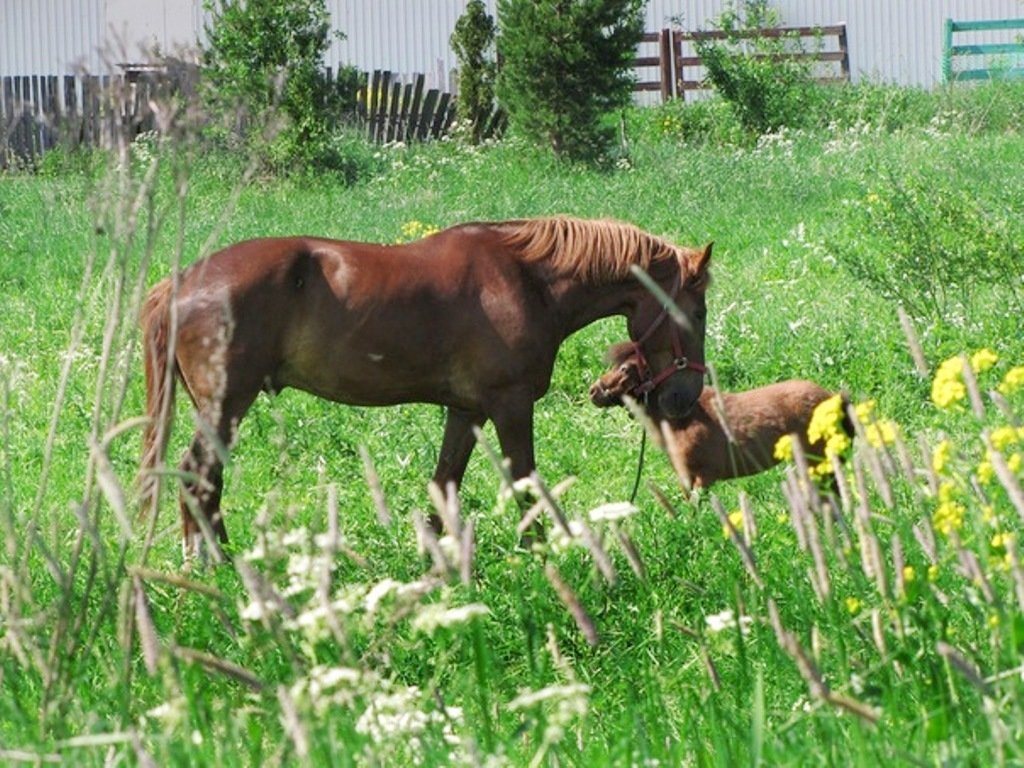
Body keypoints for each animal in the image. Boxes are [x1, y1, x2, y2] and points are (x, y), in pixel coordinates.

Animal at [140, 217, 708, 552]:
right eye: (696, 312)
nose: (684, 399)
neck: (528, 281)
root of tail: (180, 283)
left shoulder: (467, 410)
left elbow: (444, 481)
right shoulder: (510, 405)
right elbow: (525, 480)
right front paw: (541, 551)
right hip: (225, 405)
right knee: (197, 476)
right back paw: (213, 563)